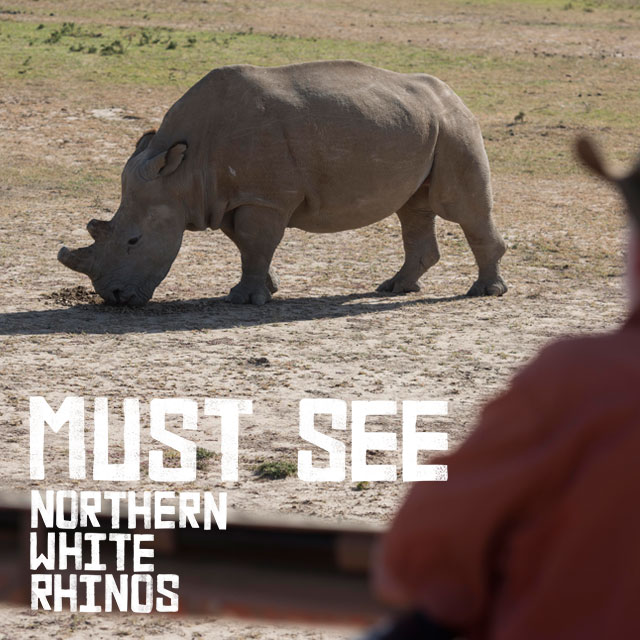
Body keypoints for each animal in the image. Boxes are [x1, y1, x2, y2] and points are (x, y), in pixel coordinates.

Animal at [58, 60, 507, 306]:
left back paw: (484, 292)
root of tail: (454, 95)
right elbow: (244, 243)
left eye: (133, 241)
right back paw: (395, 288)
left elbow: (254, 242)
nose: (113, 298)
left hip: (454, 128)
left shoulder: (264, 197)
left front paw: (244, 300)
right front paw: (267, 289)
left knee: (459, 207)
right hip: (422, 125)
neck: (181, 172)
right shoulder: (231, 196)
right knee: (412, 208)